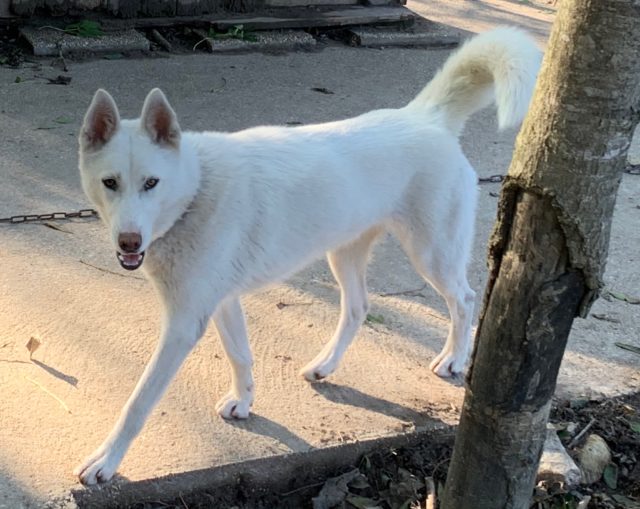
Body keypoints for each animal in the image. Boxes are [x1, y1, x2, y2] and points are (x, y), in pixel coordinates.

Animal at [75, 28, 544, 484]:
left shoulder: (184, 324)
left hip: (431, 254)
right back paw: (325, 366)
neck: (195, 191)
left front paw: (106, 461)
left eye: (151, 183)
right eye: (110, 183)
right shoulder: (222, 302)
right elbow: (240, 355)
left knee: (464, 300)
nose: (129, 242)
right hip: (345, 254)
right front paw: (244, 402)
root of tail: (424, 117)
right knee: (358, 308)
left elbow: (138, 404)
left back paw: (454, 359)